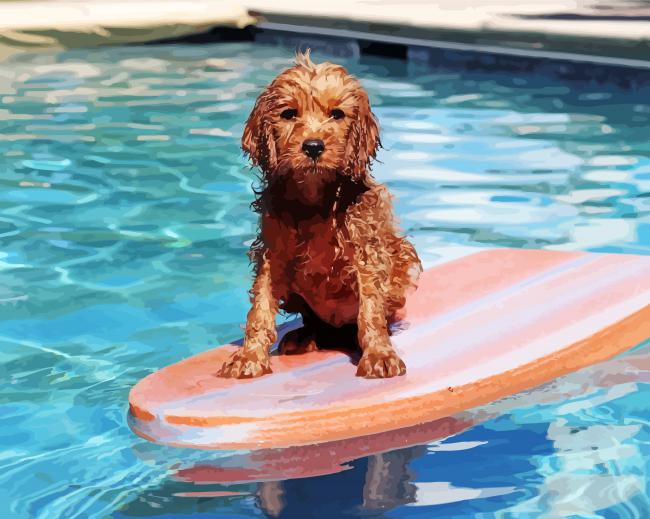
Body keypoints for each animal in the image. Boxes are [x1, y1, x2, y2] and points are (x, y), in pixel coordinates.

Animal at [218, 50, 420, 380]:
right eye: (289, 114)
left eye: (336, 114)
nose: (313, 146)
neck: (313, 196)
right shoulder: (272, 252)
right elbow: (260, 306)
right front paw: (249, 356)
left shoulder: (366, 250)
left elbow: (371, 308)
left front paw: (379, 354)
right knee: (313, 322)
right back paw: (304, 336)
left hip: (401, 256)